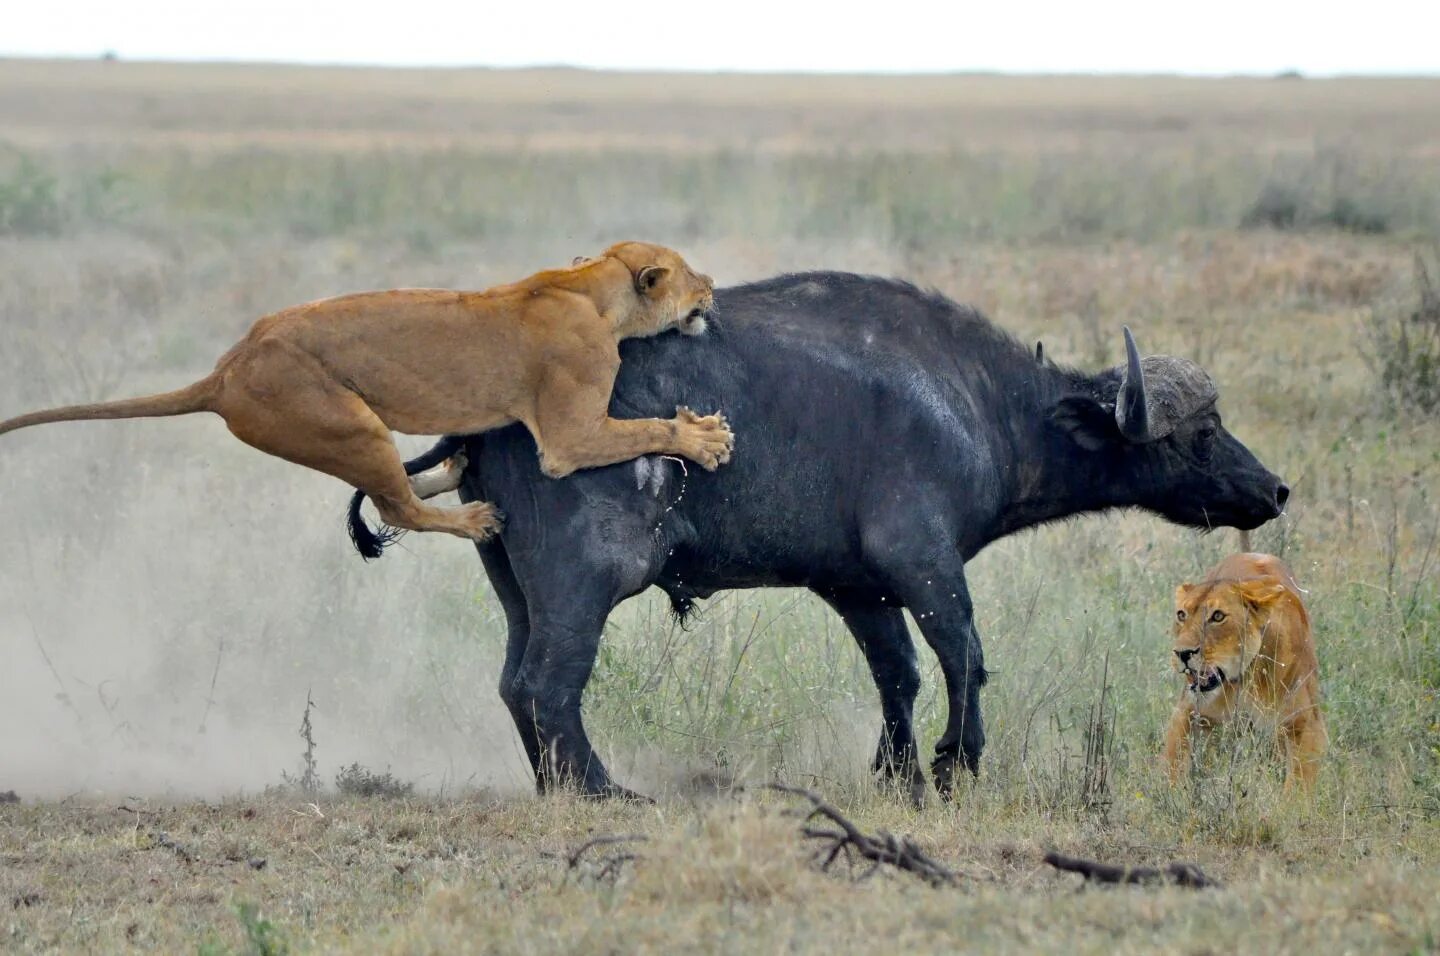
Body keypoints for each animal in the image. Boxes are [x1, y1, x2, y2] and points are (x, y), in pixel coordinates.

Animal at [345, 269, 1284, 800]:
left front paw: (900, 772)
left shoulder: (857, 587)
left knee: (515, 684)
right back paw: (603, 791)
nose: (1274, 489)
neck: (982, 401)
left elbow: (898, 673)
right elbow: (964, 656)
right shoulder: (924, 562)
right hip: (586, 581)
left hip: (515, 585)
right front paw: (956, 763)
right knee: (547, 685)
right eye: (1203, 432)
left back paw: (552, 787)